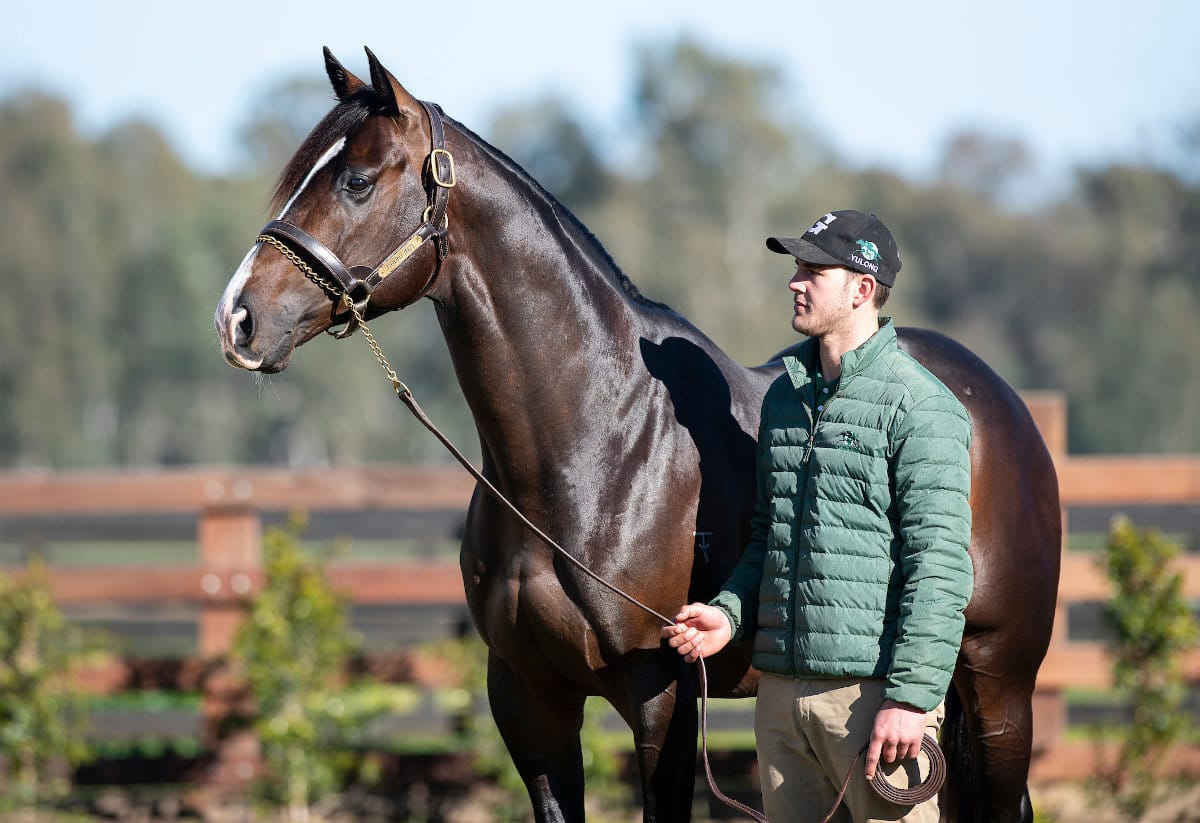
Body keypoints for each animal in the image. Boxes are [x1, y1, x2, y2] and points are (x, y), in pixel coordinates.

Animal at [215, 47, 1061, 823]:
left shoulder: (662, 699)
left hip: (998, 686)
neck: (592, 448)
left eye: (357, 180)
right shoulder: (528, 699)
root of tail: (1001, 406)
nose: (238, 317)